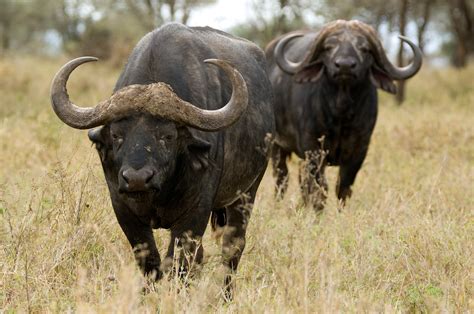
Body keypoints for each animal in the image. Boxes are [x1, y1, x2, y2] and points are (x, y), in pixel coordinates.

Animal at [50, 22, 274, 296]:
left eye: (167, 136)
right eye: (116, 135)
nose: (137, 179)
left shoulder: (195, 213)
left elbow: (179, 263)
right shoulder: (123, 209)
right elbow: (150, 261)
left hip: (247, 193)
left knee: (232, 247)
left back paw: (226, 296)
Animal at [266, 20, 422, 211]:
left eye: (364, 48)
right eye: (329, 47)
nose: (345, 66)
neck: (341, 113)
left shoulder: (360, 149)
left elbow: (344, 187)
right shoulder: (313, 148)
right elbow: (320, 186)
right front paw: (318, 212)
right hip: (275, 145)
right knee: (282, 177)